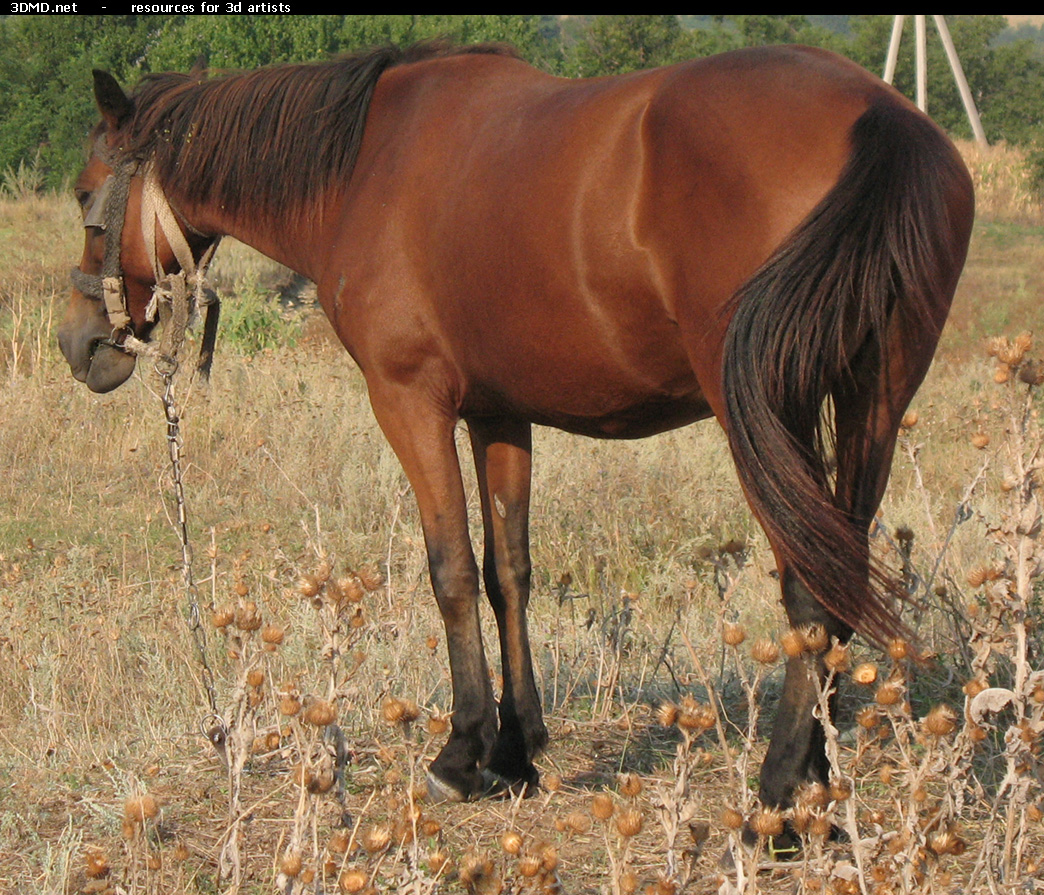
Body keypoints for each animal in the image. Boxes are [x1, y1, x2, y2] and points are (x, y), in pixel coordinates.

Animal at [55, 40, 968, 810]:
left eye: (83, 192)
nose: (79, 343)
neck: (363, 166)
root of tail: (875, 113)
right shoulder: (499, 415)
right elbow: (509, 573)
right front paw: (515, 747)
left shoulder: (410, 402)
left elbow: (452, 570)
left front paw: (463, 752)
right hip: (872, 408)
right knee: (838, 569)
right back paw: (817, 770)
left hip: (769, 417)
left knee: (809, 583)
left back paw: (780, 791)